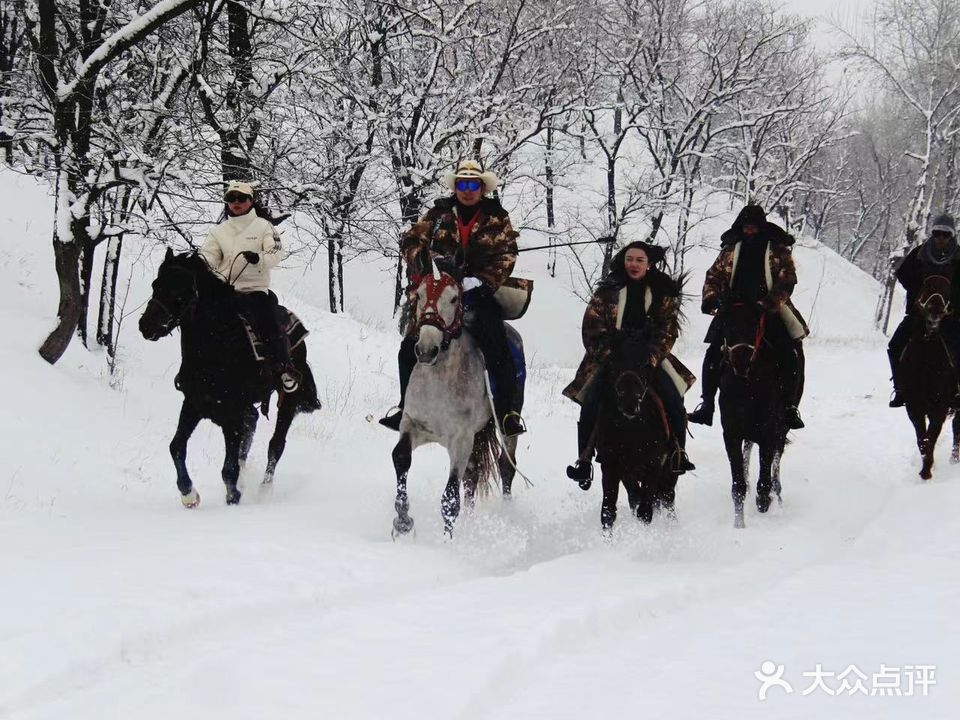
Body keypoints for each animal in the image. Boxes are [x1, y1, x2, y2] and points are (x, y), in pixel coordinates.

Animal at [139, 250, 320, 510]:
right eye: (156, 285)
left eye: (180, 291)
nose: (146, 325)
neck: (217, 347)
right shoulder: (193, 404)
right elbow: (176, 447)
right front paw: (189, 495)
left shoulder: (232, 413)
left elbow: (229, 467)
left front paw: (233, 498)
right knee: (252, 425)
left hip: (289, 400)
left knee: (276, 444)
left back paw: (264, 492)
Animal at [592, 334, 676, 532]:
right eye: (613, 362)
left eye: (645, 363)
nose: (629, 403)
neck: (631, 431)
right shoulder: (613, 467)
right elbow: (609, 512)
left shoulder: (654, 465)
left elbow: (645, 511)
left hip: (669, 472)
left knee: (668, 497)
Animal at [720, 300, 788, 524]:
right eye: (726, 321)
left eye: (757, 323)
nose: (741, 362)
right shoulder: (731, 434)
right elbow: (738, 485)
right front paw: (738, 523)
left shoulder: (769, 433)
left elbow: (765, 480)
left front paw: (764, 500)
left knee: (776, 459)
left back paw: (777, 494)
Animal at [900, 270, 960, 478]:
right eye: (926, 283)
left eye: (948, 287)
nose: (935, 310)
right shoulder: (914, 407)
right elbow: (922, 438)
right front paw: (926, 466)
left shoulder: (940, 408)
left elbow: (932, 435)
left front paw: (926, 471)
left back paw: (954, 459)